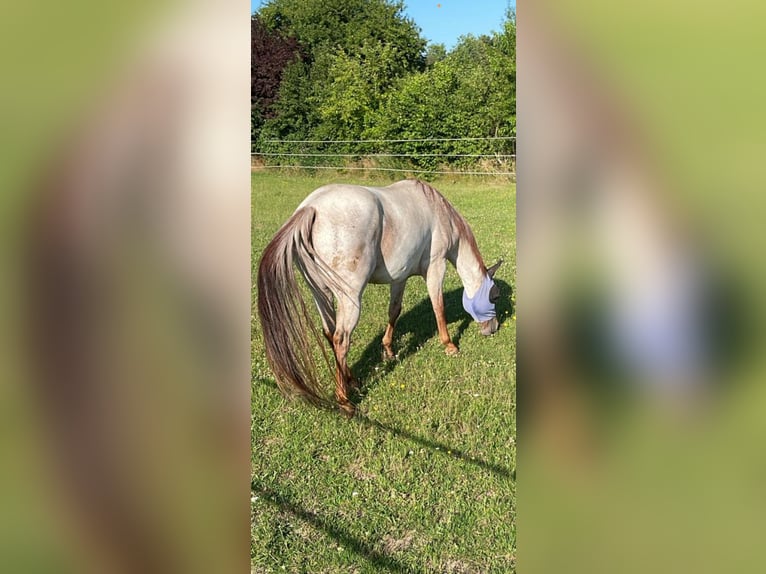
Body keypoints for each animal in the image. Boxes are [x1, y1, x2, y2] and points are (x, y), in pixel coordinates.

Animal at [257, 179, 502, 416]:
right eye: (495, 296)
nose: (493, 328)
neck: (438, 211)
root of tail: (311, 207)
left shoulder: (400, 278)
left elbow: (394, 311)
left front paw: (389, 349)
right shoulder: (436, 266)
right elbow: (438, 306)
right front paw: (449, 345)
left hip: (321, 293)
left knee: (329, 333)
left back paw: (352, 380)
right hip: (349, 299)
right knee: (341, 339)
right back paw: (345, 402)